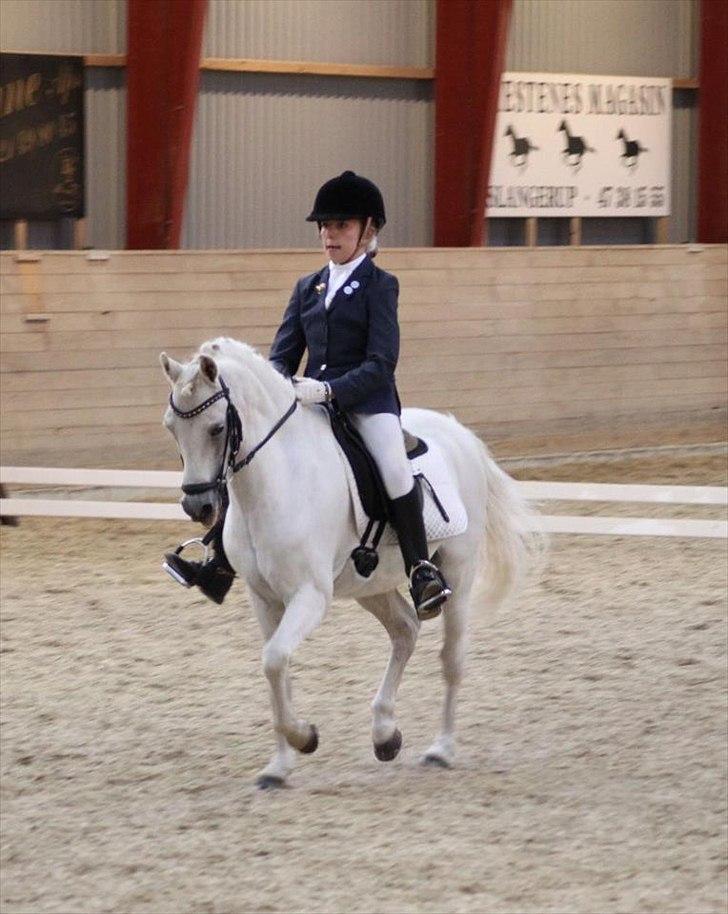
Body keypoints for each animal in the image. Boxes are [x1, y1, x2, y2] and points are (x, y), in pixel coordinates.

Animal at [160, 337, 540, 788]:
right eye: (171, 427)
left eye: (217, 428)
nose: (197, 506)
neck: (277, 481)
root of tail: (459, 432)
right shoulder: (263, 597)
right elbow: (275, 667)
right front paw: (279, 767)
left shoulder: (310, 595)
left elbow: (274, 660)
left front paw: (304, 737)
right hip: (368, 584)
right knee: (405, 630)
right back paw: (385, 734)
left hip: (458, 571)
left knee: (451, 658)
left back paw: (441, 749)